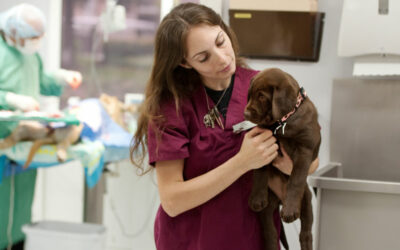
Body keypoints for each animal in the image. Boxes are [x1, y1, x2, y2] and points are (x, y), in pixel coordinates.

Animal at [244, 68, 322, 250]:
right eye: (250, 95)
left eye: (262, 96)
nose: (246, 113)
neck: (283, 122)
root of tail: (280, 200)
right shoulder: (265, 143)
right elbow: (259, 171)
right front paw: (256, 198)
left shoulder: (304, 150)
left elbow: (296, 179)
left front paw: (289, 211)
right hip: (267, 208)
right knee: (270, 233)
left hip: (306, 200)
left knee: (305, 234)